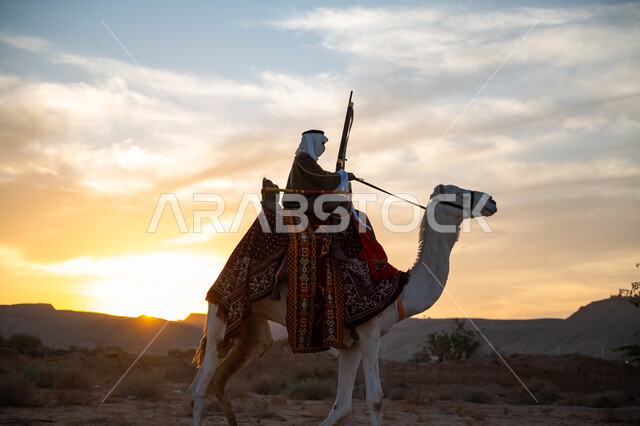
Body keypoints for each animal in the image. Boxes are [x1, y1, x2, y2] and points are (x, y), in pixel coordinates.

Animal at [189, 183, 497, 425]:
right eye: (458, 193)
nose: (492, 200)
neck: (399, 290)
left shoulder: (352, 344)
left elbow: (342, 406)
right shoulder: (370, 333)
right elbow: (376, 398)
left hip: (252, 327)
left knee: (222, 376)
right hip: (220, 315)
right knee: (199, 387)